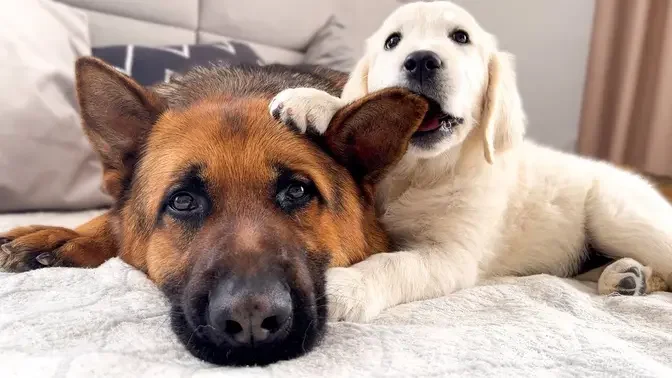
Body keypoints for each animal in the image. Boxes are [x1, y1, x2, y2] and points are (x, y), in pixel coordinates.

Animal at [270, 0, 672, 322]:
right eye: (392, 41)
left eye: (460, 37)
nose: (421, 61)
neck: (422, 171)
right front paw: (314, 102)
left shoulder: (452, 255)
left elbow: (395, 263)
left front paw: (344, 287)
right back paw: (625, 277)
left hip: (616, 216)